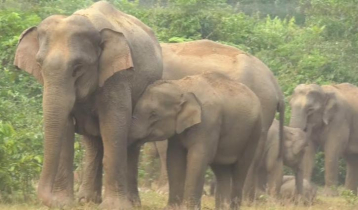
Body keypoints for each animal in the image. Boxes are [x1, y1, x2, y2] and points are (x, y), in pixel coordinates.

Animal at [12, 1, 162, 208]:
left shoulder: (118, 77)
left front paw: (114, 206)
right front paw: (63, 202)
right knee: (93, 142)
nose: (49, 200)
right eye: (39, 65)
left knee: (131, 143)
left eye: (78, 67)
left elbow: (114, 124)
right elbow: (66, 126)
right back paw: (87, 200)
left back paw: (132, 203)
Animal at [129, 71, 262, 209]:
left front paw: (189, 207)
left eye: (154, 114)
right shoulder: (179, 131)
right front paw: (172, 207)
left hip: (254, 132)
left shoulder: (208, 122)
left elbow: (198, 157)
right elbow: (174, 159)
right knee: (222, 171)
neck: (181, 86)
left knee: (240, 169)